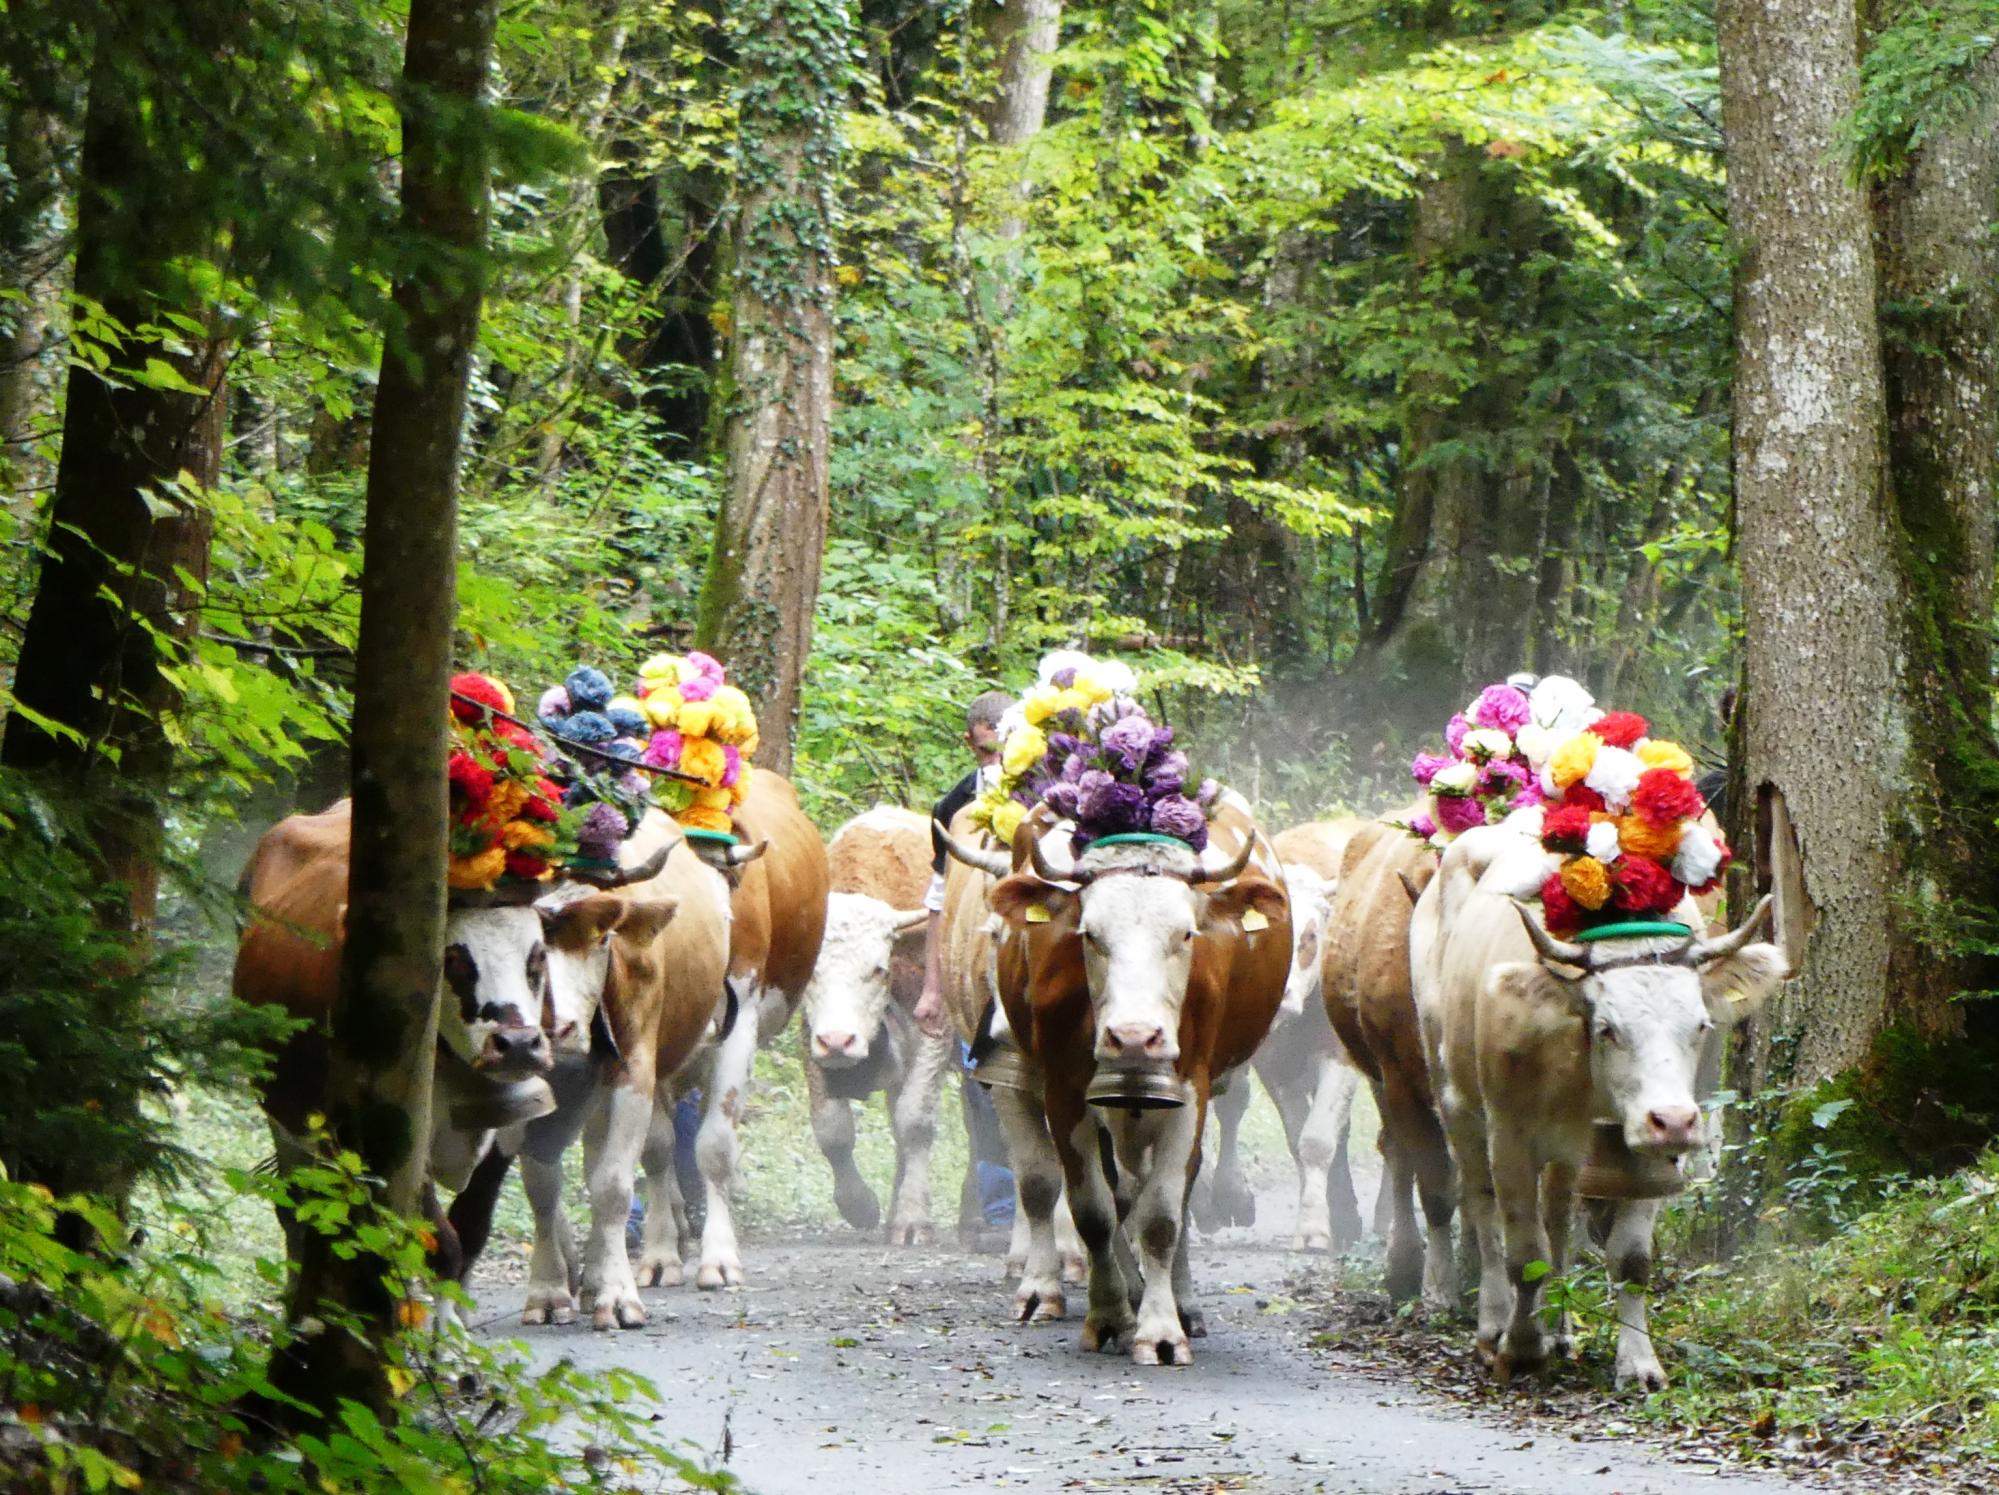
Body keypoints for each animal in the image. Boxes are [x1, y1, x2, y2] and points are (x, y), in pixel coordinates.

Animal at [799, 811, 947, 1247]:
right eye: (811, 970)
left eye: (878, 968)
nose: (838, 1041)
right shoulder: (812, 1036)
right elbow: (832, 1129)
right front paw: (859, 1205)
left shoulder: (936, 1032)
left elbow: (915, 1121)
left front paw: (913, 1219)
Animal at [939, 795, 1287, 1367]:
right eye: (1091, 934)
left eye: (1185, 933)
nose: (1134, 1037)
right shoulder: (1047, 1088)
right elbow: (1076, 1201)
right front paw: (1094, 1311)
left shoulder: (1187, 1090)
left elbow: (1163, 1213)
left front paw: (1162, 1330)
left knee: (1170, 1193)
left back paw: (1182, 1303)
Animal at [1327, 819, 1455, 1311]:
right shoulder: (1398, 1076)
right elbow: (1434, 1185)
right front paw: (1439, 1288)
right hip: (1379, 1075)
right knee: (1397, 1154)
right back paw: (1402, 1267)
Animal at [1415, 819, 1791, 1391]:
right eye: (1608, 1028)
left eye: (1701, 1025)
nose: (1674, 1122)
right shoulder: (1511, 1132)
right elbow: (1524, 1252)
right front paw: (1521, 1349)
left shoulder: (1645, 1150)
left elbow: (1629, 1260)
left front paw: (1638, 1363)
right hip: (1455, 1101)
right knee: (1482, 1209)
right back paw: (1493, 1327)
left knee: (1558, 1215)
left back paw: (1561, 1332)